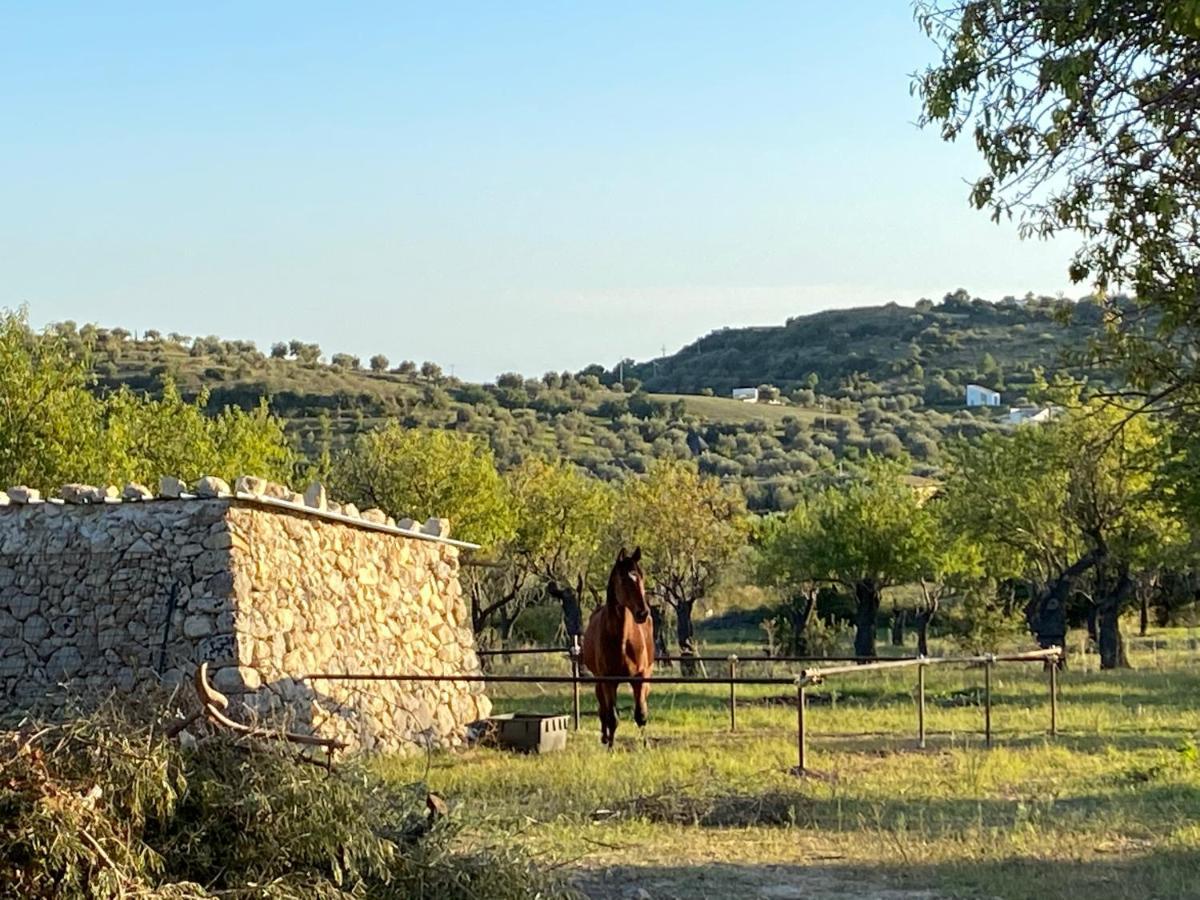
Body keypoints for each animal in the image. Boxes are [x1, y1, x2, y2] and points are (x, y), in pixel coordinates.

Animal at [583, 549, 657, 748]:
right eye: (623, 579)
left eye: (641, 576)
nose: (643, 613)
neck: (623, 641)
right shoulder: (608, 681)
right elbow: (612, 718)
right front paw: (610, 747)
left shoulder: (640, 678)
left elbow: (641, 714)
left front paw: (646, 745)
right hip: (600, 682)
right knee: (603, 709)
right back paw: (604, 737)